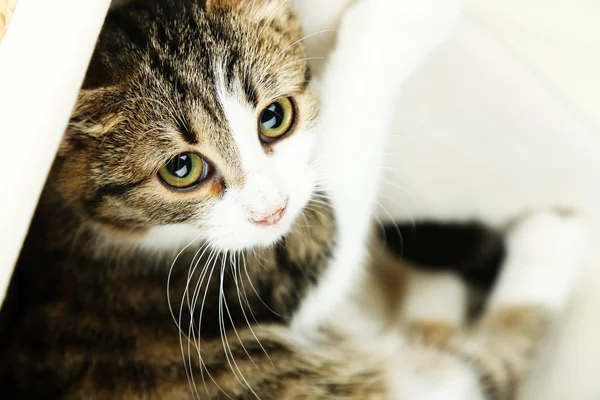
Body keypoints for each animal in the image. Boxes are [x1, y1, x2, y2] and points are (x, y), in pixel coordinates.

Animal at [0, 0, 584, 400]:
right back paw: (549, 243)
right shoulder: (245, 282)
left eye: (275, 117)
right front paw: (402, 21)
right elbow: (337, 186)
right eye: (181, 169)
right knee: (482, 368)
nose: (271, 210)